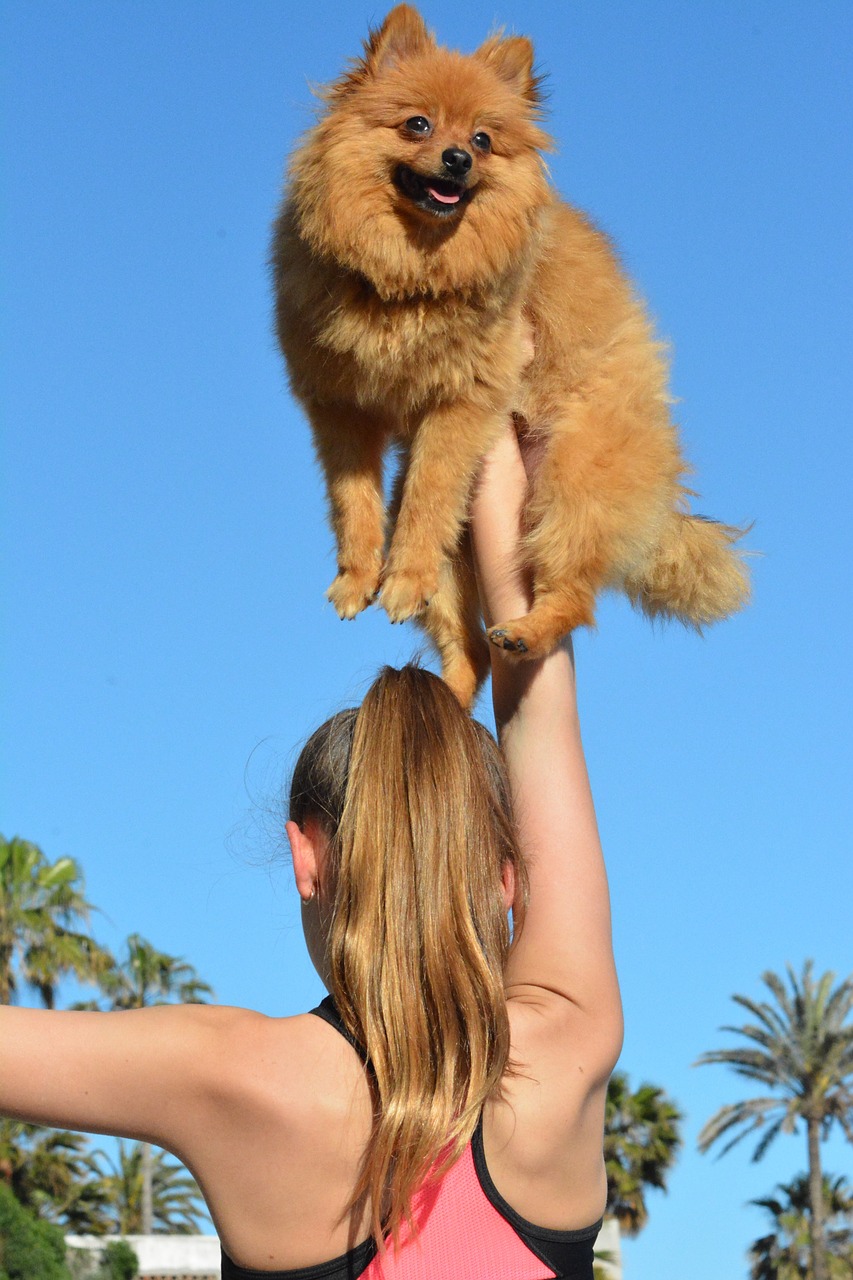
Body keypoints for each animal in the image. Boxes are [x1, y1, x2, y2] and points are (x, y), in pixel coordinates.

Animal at [272, 2, 742, 701]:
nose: (458, 159)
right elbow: (353, 505)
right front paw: (358, 579)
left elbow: (430, 498)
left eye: (485, 140)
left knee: (570, 597)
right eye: (417, 124)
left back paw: (524, 631)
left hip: (570, 491)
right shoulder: (341, 409)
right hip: (470, 550)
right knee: (466, 647)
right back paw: (449, 699)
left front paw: (398, 577)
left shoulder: (461, 407)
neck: (409, 275)